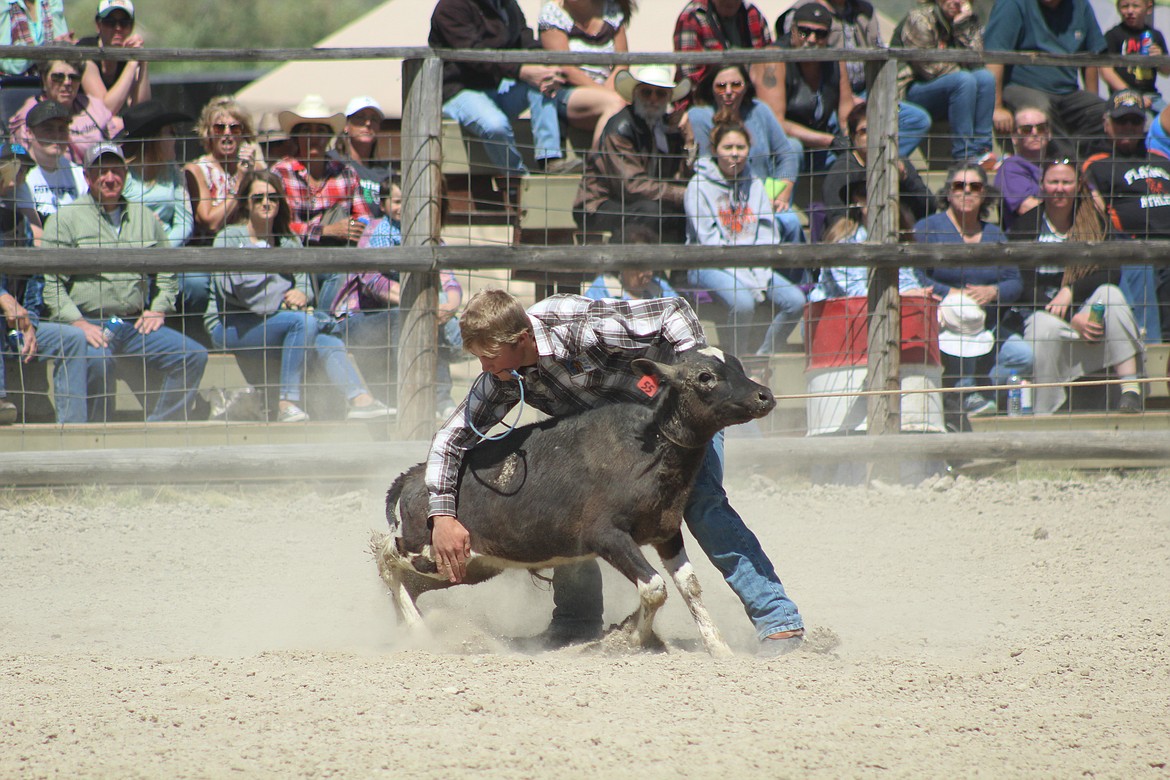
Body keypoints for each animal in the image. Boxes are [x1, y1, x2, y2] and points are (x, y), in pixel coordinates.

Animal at [372, 350, 776, 654]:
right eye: (706, 376)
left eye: (739, 368)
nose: (765, 396)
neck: (649, 448)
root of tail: (413, 477)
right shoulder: (606, 536)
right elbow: (654, 588)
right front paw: (632, 636)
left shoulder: (667, 534)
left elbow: (688, 586)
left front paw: (719, 648)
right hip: (427, 550)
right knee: (387, 557)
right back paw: (419, 632)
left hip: (470, 566)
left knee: (411, 584)